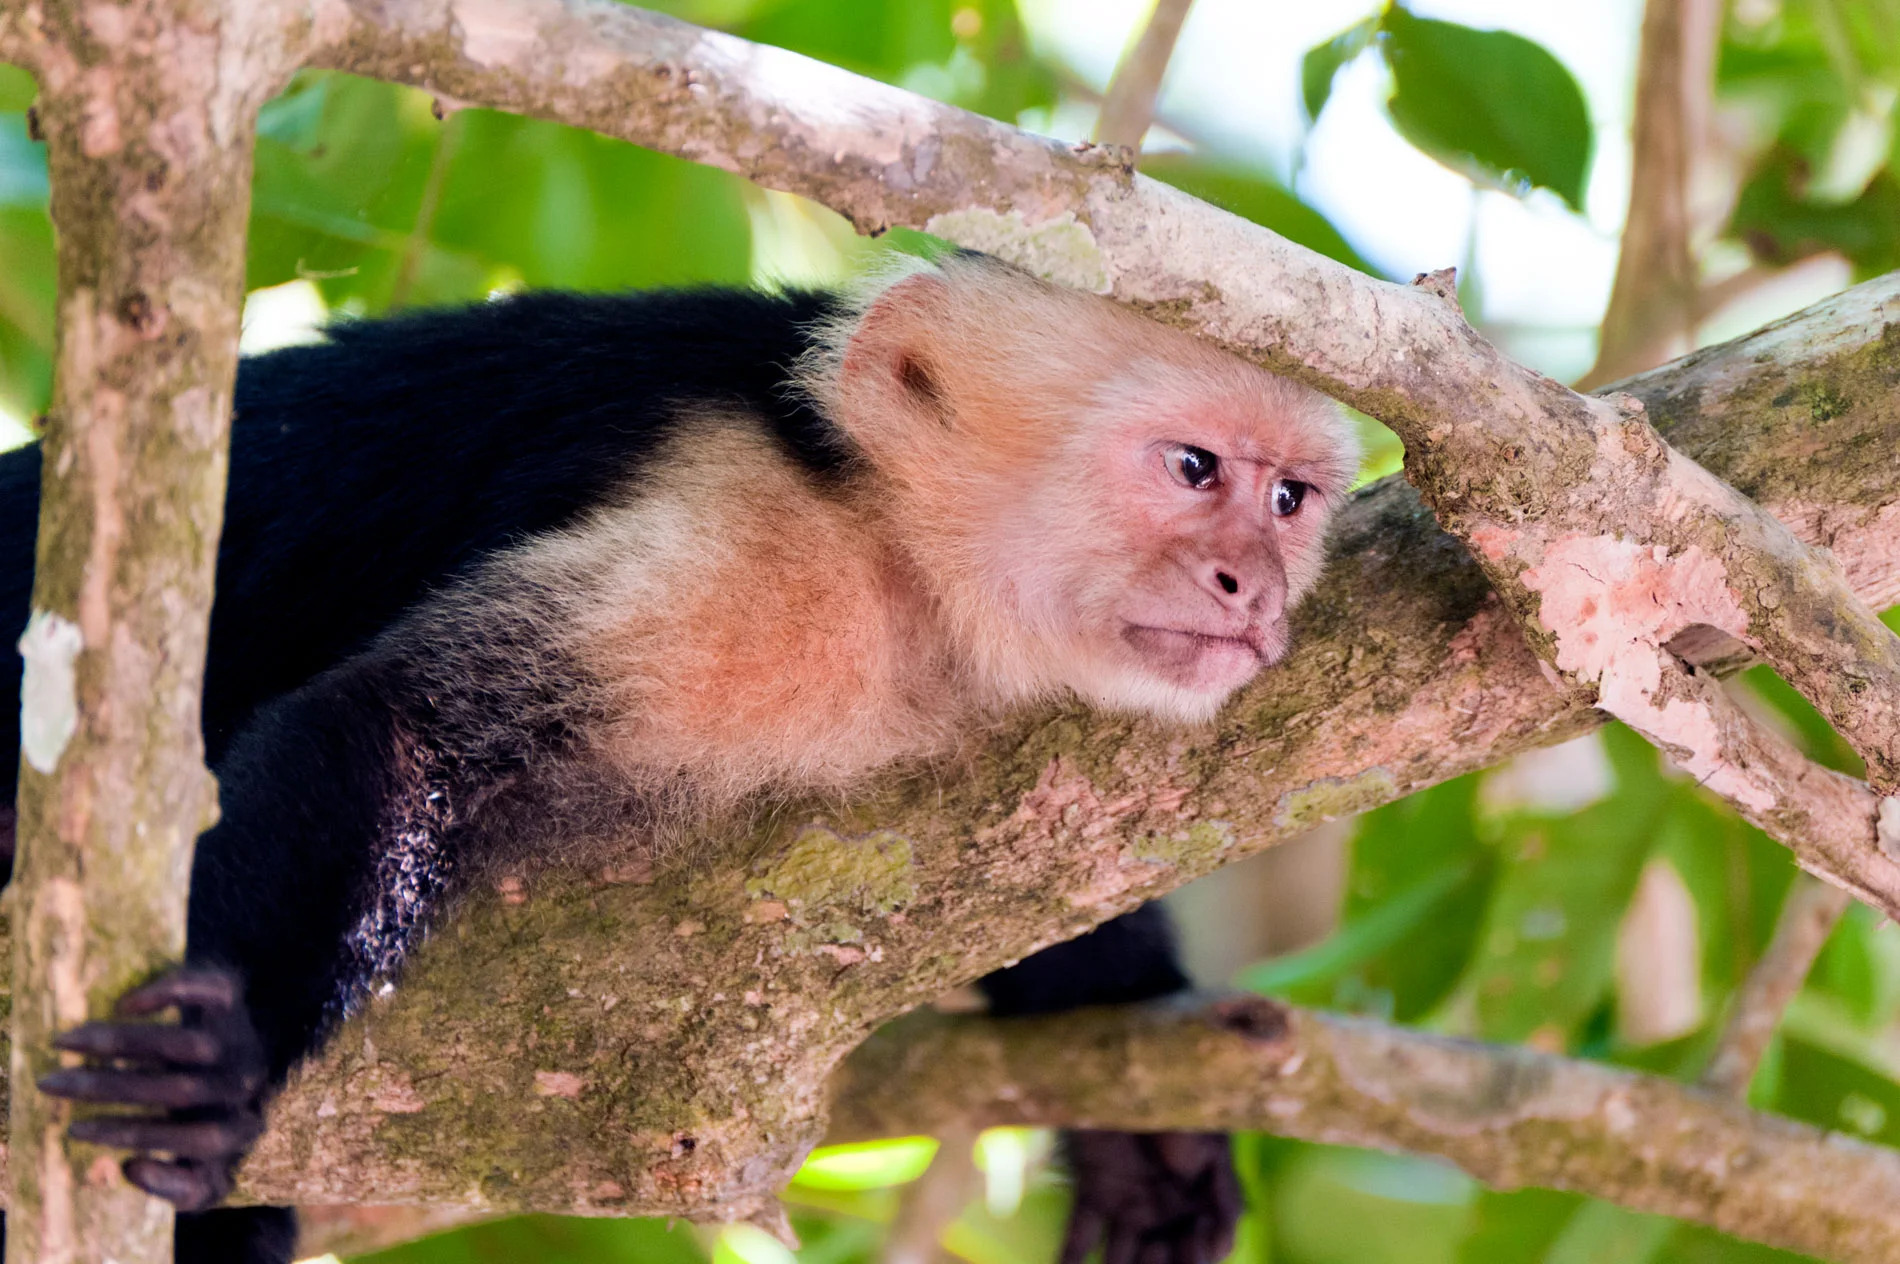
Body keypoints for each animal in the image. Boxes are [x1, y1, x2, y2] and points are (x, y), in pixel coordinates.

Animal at [0, 252, 1358, 1264]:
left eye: (1290, 498)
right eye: (1192, 468)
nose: (1251, 584)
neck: (899, 556)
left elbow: (1047, 866)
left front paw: (1138, 1116)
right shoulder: (750, 537)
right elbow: (394, 728)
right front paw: (215, 1047)